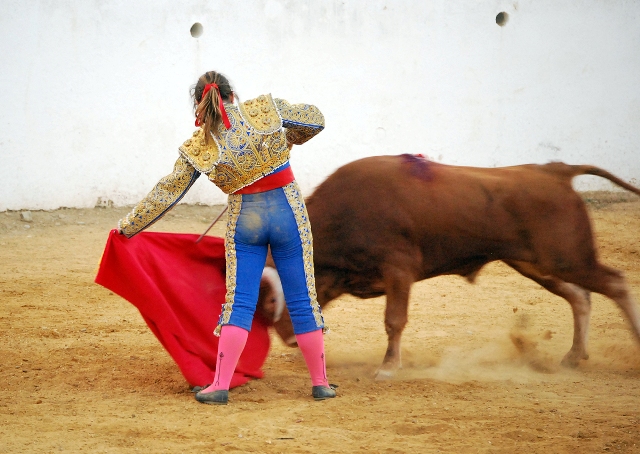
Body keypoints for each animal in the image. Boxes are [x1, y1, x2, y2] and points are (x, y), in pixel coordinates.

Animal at [262, 154, 636, 378]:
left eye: (271, 301)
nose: (290, 340)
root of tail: (556, 169)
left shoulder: (399, 270)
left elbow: (394, 320)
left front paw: (388, 367)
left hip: (566, 258)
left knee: (615, 284)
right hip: (537, 264)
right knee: (580, 297)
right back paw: (573, 356)